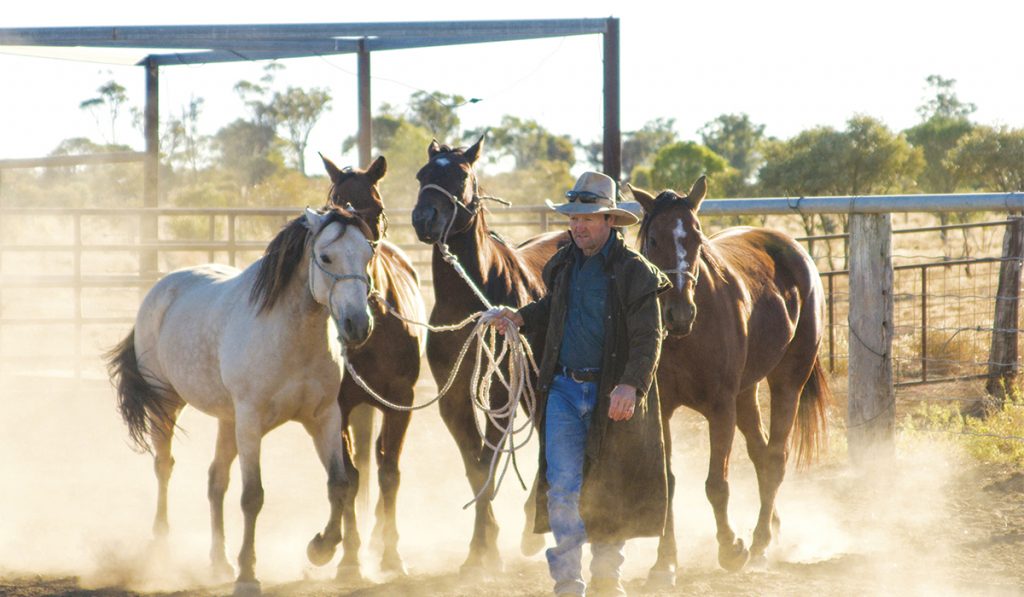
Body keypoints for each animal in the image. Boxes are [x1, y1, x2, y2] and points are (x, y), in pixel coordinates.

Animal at [107, 204, 376, 593]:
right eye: (326, 257)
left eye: (369, 255)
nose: (358, 324)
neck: (292, 336)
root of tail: (160, 289)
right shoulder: (251, 422)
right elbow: (253, 496)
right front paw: (248, 575)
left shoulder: (324, 418)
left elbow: (339, 483)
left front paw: (320, 548)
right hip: (166, 403)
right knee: (164, 467)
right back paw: (161, 549)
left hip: (226, 420)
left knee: (216, 481)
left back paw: (219, 562)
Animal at [317, 154, 425, 577]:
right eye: (332, 207)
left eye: (375, 208)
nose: (355, 322)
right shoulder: (339, 408)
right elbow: (349, 476)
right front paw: (349, 558)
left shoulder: (401, 400)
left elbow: (390, 472)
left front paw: (392, 555)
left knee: (380, 459)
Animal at [409, 136, 569, 573]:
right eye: (422, 175)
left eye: (462, 175)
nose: (423, 218)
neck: (471, 296)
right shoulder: (453, 397)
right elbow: (475, 463)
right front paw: (481, 547)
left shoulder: (501, 395)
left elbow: (488, 458)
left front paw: (487, 548)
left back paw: (534, 522)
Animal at [626, 177, 827, 589]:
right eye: (652, 238)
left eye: (696, 236)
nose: (679, 312)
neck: (686, 338)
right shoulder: (662, 411)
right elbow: (669, 484)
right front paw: (664, 564)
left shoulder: (720, 408)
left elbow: (716, 484)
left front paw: (731, 548)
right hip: (747, 392)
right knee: (761, 453)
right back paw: (771, 530)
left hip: (788, 380)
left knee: (776, 457)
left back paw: (761, 542)